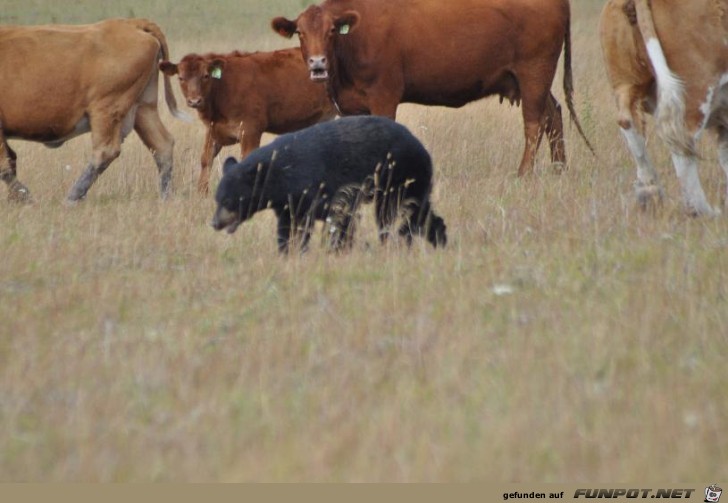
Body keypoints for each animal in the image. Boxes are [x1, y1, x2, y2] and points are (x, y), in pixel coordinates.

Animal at [0, 17, 188, 203]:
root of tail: (131, 23)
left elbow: (5, 166)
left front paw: (25, 197)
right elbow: (10, 159)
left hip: (106, 110)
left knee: (105, 151)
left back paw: (72, 197)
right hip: (143, 108)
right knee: (162, 146)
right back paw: (165, 197)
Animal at [159, 48, 336, 195]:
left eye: (206, 76)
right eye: (181, 78)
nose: (194, 101)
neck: (223, 87)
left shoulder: (250, 131)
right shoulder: (214, 130)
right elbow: (206, 159)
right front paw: (201, 193)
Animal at [210, 116, 446, 254]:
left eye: (228, 200)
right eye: (217, 199)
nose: (214, 223)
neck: (280, 173)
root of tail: (423, 149)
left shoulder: (316, 187)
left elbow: (337, 216)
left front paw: (337, 248)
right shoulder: (287, 202)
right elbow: (287, 226)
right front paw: (287, 251)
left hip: (399, 175)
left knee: (396, 213)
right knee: (418, 211)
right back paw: (438, 238)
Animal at [600, 0, 728, 215]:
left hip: (624, 83)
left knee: (629, 123)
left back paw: (648, 192)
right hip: (696, 91)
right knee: (683, 144)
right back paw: (704, 211)